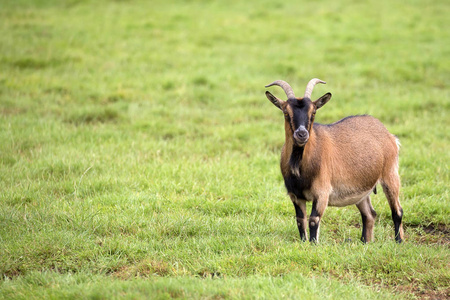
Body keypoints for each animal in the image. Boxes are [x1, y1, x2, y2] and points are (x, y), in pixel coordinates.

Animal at [266, 78, 402, 243]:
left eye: (313, 112)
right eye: (286, 112)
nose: (302, 134)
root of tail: (389, 135)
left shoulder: (322, 193)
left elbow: (313, 220)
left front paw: (313, 244)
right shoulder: (295, 195)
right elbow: (300, 220)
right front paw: (305, 243)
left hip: (390, 174)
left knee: (397, 211)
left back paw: (399, 241)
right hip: (362, 190)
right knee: (369, 214)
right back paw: (365, 242)